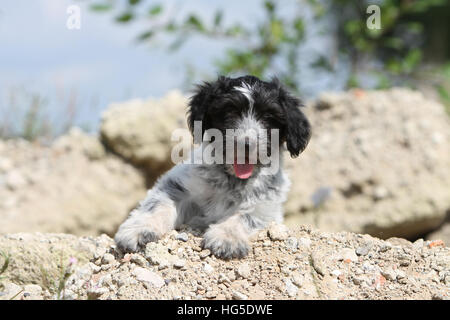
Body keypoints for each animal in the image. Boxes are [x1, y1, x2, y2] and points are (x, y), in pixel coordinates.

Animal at [114, 75, 312, 260]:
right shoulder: (176, 185)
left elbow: (246, 216)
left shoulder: (266, 207)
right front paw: (138, 229)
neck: (231, 179)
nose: (246, 144)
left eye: (269, 117)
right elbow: (159, 204)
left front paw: (227, 238)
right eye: (229, 111)